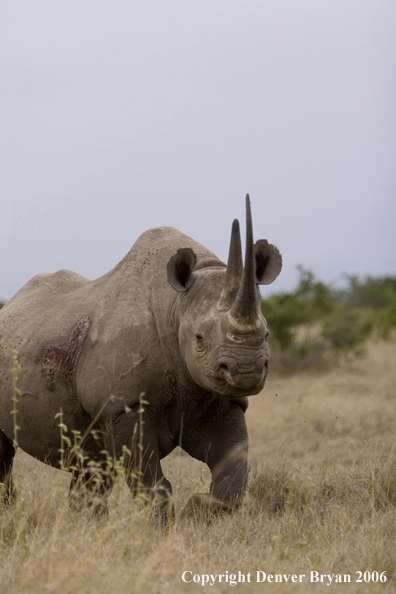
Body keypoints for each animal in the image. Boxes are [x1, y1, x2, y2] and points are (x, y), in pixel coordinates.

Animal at [1, 197, 284, 516]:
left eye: (267, 335)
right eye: (199, 340)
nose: (247, 371)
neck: (175, 305)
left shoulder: (220, 398)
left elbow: (232, 475)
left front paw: (196, 509)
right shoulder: (123, 404)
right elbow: (150, 481)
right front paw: (165, 524)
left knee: (92, 464)